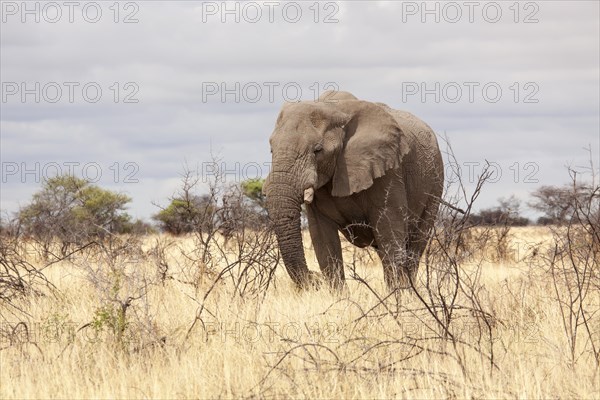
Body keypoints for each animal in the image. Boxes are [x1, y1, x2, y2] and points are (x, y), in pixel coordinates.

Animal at [264, 90, 442, 290]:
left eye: (318, 150)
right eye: (271, 149)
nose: (314, 278)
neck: (334, 107)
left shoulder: (388, 171)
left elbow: (389, 230)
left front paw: (396, 295)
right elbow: (323, 238)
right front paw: (337, 295)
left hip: (434, 186)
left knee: (415, 244)